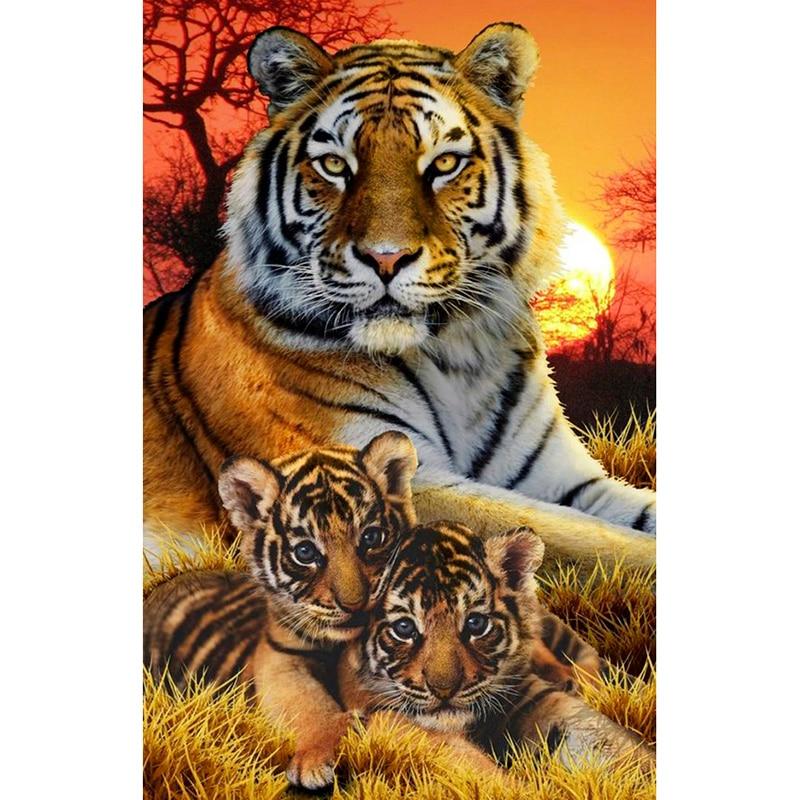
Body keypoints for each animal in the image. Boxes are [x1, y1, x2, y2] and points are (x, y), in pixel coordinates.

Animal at [144, 22, 656, 568]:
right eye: (334, 165)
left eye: (444, 163)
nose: (386, 258)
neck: (458, 357)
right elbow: (590, 540)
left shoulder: (562, 477)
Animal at [144, 431, 419, 790]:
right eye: (305, 552)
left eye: (372, 537)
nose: (355, 605)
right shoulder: (281, 659)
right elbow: (307, 705)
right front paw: (316, 758)